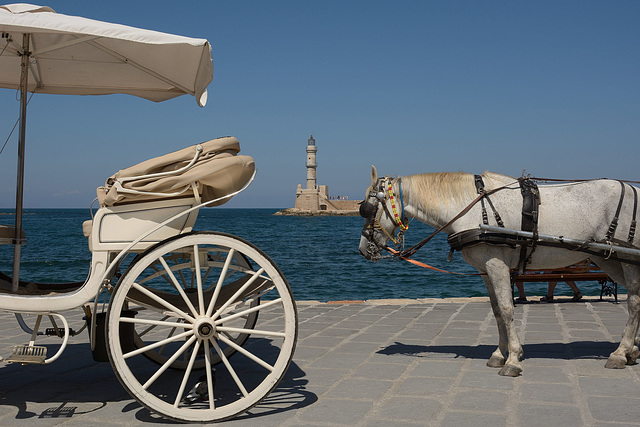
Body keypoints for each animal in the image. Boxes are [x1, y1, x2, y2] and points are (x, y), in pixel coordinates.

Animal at [358, 166, 640, 376]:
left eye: (367, 209)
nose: (363, 249)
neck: (472, 207)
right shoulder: (485, 269)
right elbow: (495, 310)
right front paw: (498, 354)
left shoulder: (497, 264)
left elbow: (506, 309)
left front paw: (513, 359)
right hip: (610, 260)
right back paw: (632, 350)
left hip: (628, 259)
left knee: (634, 302)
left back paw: (620, 353)